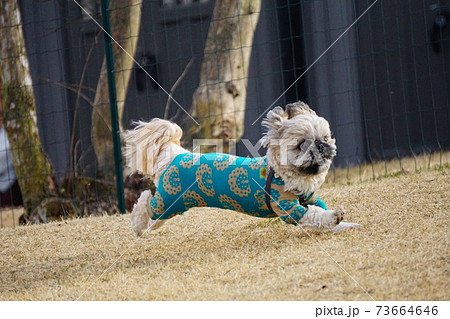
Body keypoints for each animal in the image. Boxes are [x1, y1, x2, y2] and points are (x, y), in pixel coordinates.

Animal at [125, 100, 356, 238]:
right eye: (301, 144)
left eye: (325, 138)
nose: (321, 146)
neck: (284, 175)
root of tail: (176, 154)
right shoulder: (290, 209)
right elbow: (316, 216)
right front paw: (334, 217)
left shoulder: (310, 198)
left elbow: (321, 210)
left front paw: (344, 224)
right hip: (168, 201)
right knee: (144, 201)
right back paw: (137, 227)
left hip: (173, 207)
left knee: (153, 215)